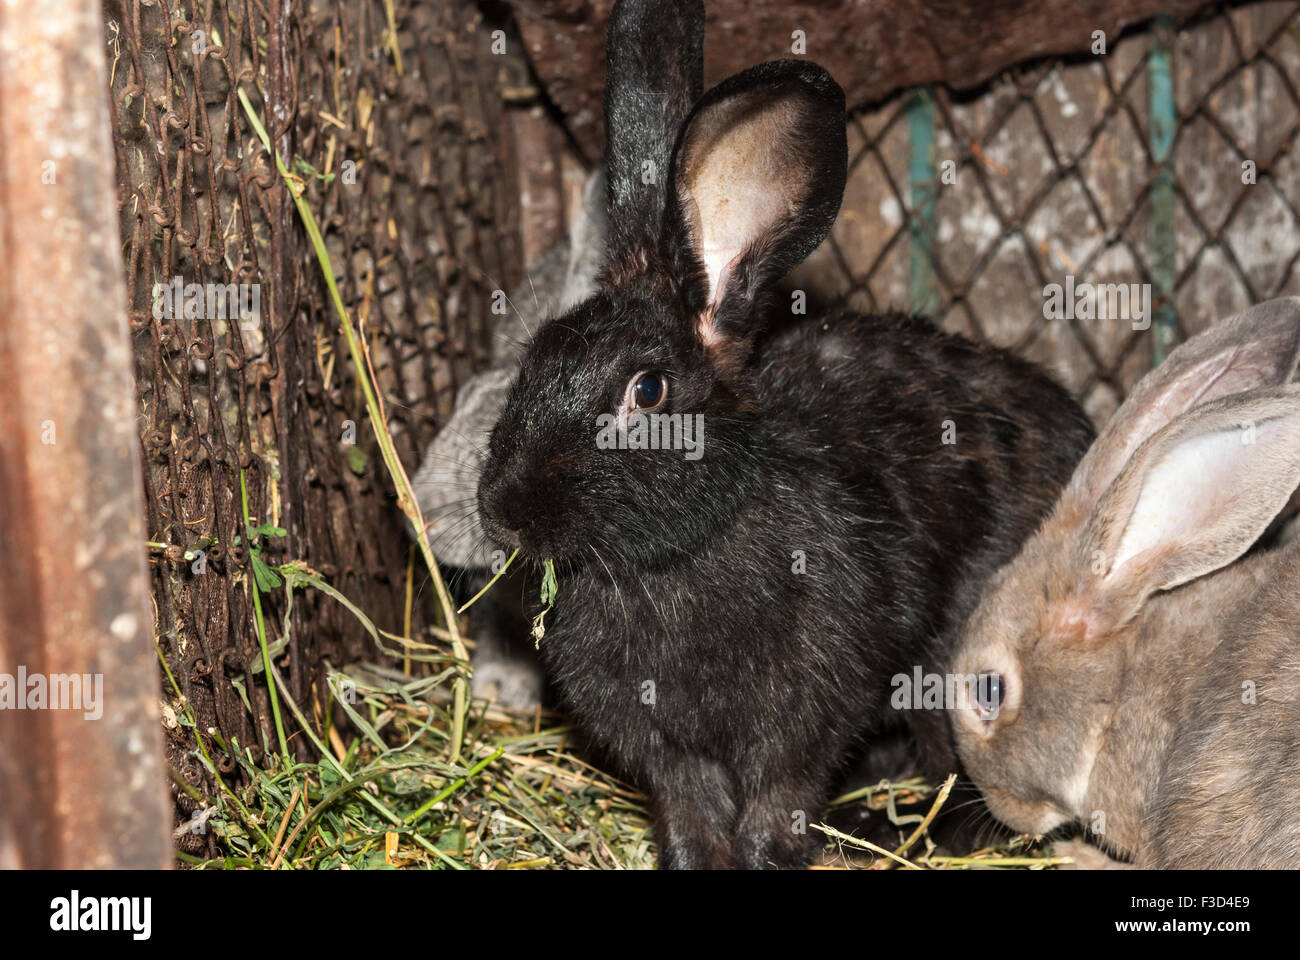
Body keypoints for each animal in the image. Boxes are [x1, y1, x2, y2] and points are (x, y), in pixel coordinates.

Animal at [475, 0, 1094, 869]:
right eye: (534, 355)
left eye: (647, 391)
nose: (500, 511)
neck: (679, 555)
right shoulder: (673, 757)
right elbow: (691, 815)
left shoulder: (805, 725)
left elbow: (779, 804)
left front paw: (769, 857)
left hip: (964, 657)